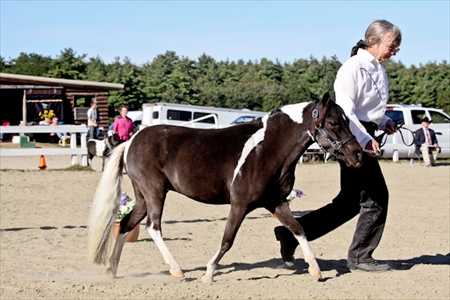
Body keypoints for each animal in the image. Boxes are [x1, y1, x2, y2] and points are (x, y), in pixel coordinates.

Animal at [87, 92, 362, 282]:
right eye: (335, 122)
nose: (357, 154)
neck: (267, 148)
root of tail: (131, 141)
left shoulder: (277, 203)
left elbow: (299, 230)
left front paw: (315, 270)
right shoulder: (240, 204)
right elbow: (228, 239)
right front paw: (208, 273)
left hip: (143, 197)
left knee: (126, 224)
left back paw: (112, 269)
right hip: (155, 192)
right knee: (153, 227)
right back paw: (177, 270)